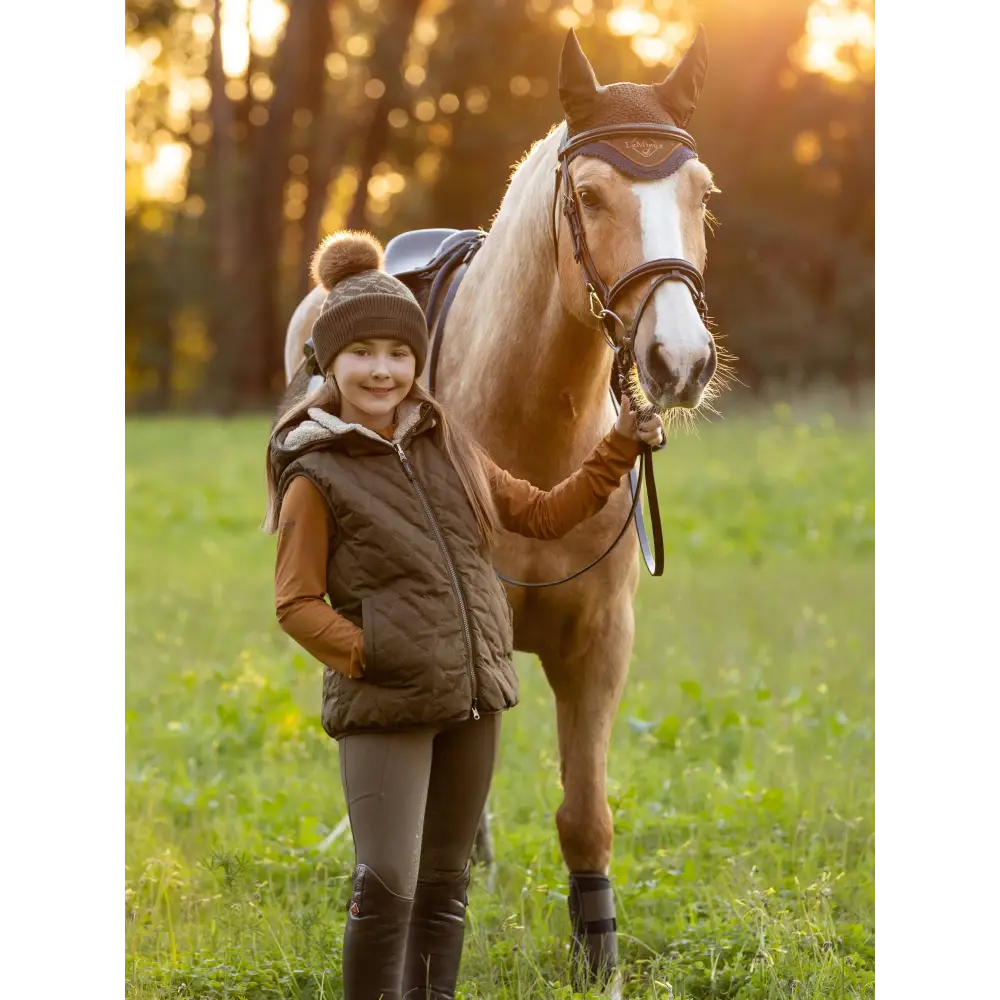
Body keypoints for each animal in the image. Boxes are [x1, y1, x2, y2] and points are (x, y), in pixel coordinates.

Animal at [282, 29, 728, 992]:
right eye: (590, 195)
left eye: (702, 194)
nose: (679, 360)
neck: (530, 433)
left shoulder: (599, 643)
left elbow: (585, 813)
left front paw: (598, 957)